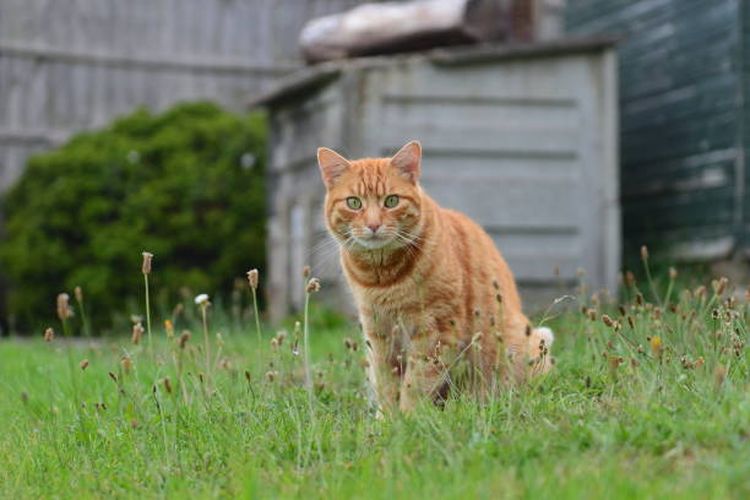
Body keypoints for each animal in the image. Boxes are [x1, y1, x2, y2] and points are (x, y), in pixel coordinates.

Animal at [318, 139, 552, 412]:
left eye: (391, 201)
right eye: (354, 203)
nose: (373, 225)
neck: (383, 278)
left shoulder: (435, 332)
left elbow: (416, 384)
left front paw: (407, 418)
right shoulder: (380, 335)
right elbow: (387, 384)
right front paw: (387, 418)